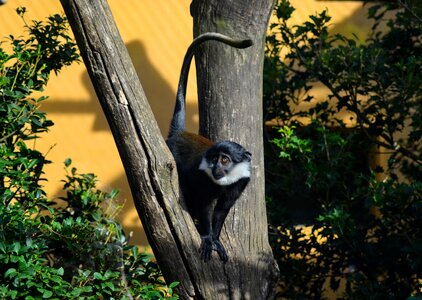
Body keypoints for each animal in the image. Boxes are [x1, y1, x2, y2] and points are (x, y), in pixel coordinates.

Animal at [167, 32, 254, 262]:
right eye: (214, 159)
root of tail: (179, 133)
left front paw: (215, 239)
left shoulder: (241, 182)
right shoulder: (202, 178)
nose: (216, 168)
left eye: (225, 159)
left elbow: (221, 210)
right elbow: (204, 206)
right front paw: (207, 238)